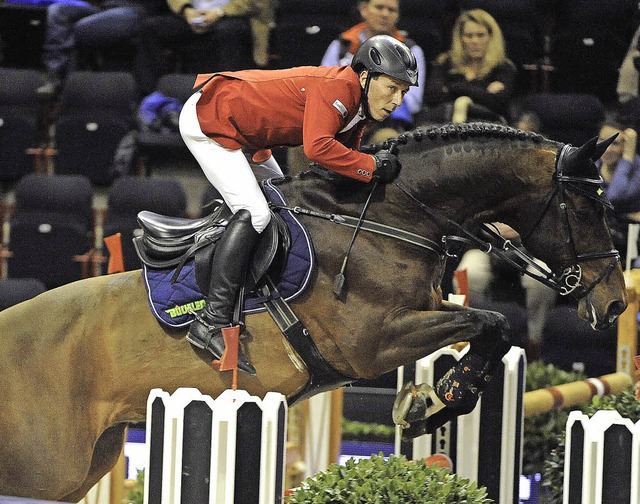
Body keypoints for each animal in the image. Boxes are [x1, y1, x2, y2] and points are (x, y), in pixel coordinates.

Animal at [0, 123, 628, 500]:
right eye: (587, 207)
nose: (615, 302)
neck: (389, 217)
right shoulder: (371, 343)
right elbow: (488, 323)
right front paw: (434, 400)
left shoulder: (421, 311)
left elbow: (491, 328)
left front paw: (433, 401)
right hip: (47, 468)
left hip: (85, 463)